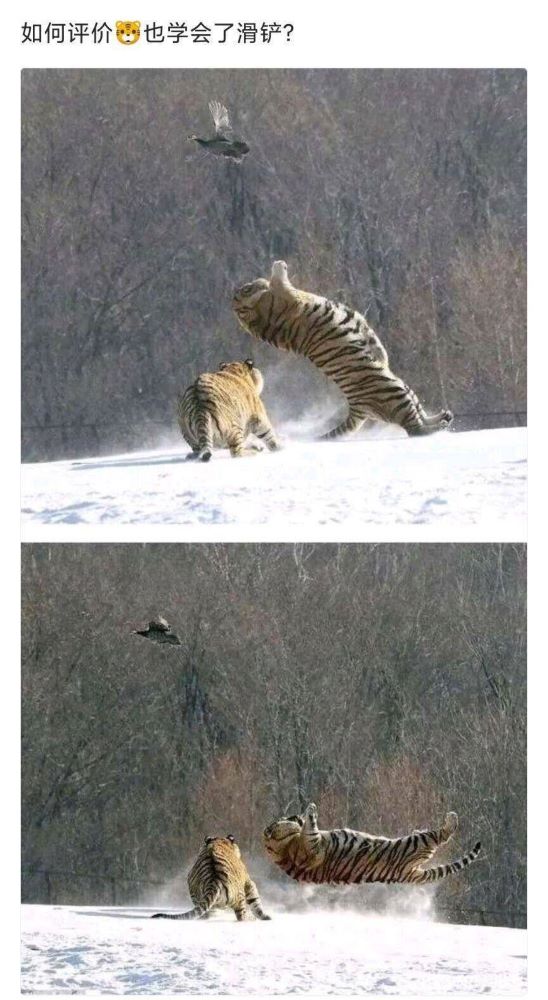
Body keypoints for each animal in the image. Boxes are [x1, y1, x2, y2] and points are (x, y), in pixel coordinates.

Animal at [232, 260, 453, 440]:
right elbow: (279, 279)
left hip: (400, 386)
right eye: (246, 289)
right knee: (414, 428)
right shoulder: (287, 295)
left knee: (418, 415)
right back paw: (439, 426)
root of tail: (356, 407)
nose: (251, 283)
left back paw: (444, 416)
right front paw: (279, 265)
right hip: (393, 393)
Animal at [263, 802, 481, 886]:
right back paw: (451, 818)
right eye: (290, 817)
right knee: (441, 834)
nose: (296, 815)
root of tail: (411, 874)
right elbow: (311, 828)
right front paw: (311, 810)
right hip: (414, 844)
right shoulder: (313, 849)